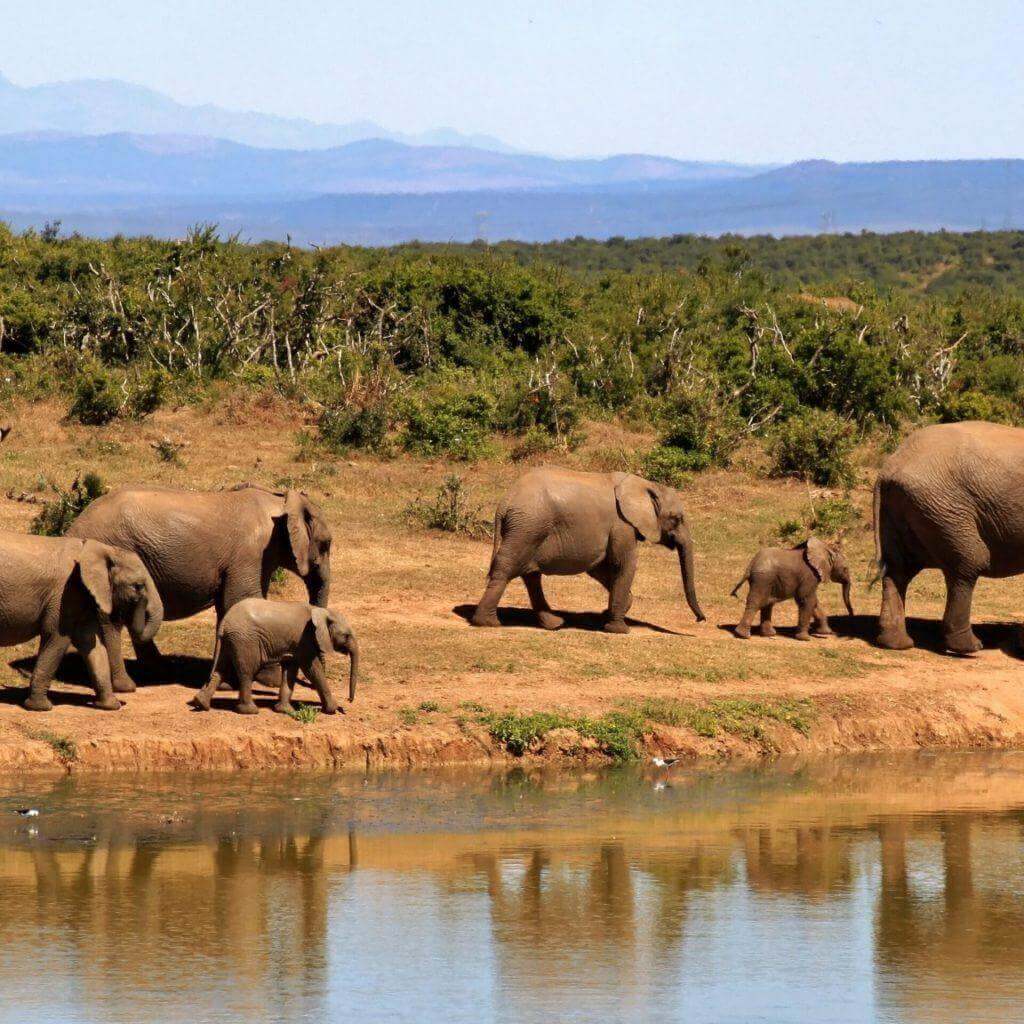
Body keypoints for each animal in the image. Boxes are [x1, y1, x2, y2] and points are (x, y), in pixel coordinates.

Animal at [0, 531, 163, 711]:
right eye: (138, 586)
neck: (102, 549)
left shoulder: (80, 595)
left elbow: (91, 642)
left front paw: (111, 706)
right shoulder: (65, 594)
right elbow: (57, 637)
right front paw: (40, 707)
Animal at [67, 483, 331, 690]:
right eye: (326, 544)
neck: (279, 501)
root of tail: (73, 528)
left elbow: (229, 607)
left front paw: (226, 682)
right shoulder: (250, 553)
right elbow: (242, 600)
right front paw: (270, 681)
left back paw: (159, 671)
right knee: (111, 618)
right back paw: (126, 685)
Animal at [191, 599, 358, 715]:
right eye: (346, 635)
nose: (349, 701)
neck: (322, 611)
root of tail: (224, 622)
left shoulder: (295, 644)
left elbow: (290, 670)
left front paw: (285, 711)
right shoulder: (306, 639)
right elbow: (312, 670)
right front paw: (332, 710)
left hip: (230, 641)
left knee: (220, 669)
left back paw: (201, 703)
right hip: (245, 640)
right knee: (246, 672)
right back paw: (250, 711)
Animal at [471, 467, 705, 633]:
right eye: (677, 519)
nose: (700, 619)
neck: (645, 485)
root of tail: (504, 502)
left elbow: (599, 568)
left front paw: (610, 612)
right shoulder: (622, 525)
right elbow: (623, 564)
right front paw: (619, 629)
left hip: (529, 529)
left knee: (530, 574)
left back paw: (554, 624)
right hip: (528, 527)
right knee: (507, 568)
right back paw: (488, 622)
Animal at [874, 420, 1024, 653]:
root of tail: (891, 466)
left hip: (903, 508)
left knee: (898, 568)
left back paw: (897, 643)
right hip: (943, 506)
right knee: (971, 561)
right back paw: (969, 647)